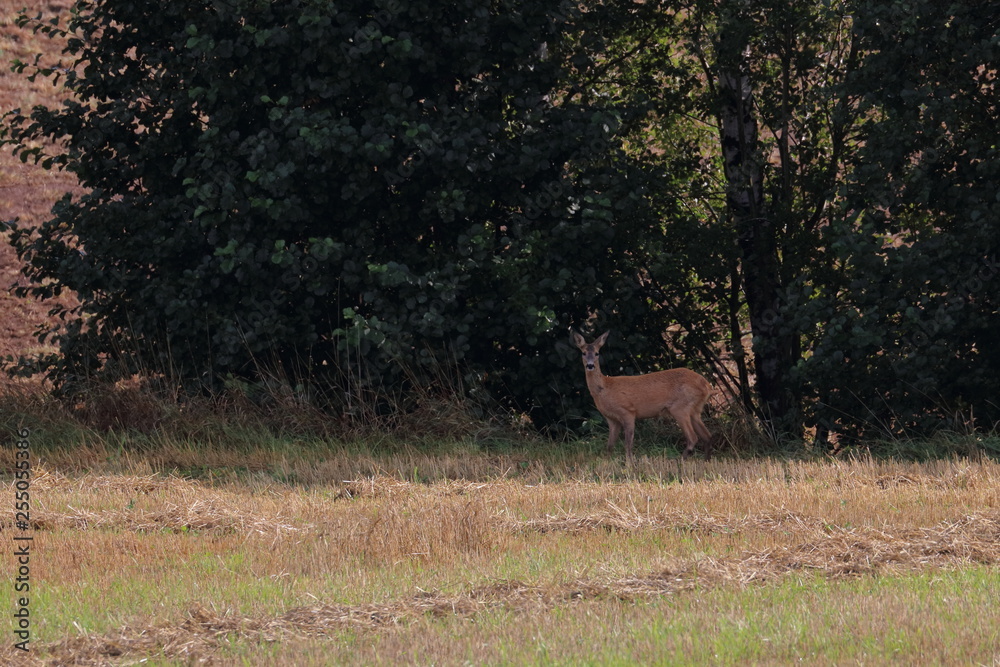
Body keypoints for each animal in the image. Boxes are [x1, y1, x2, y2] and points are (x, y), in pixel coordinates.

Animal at [572, 332, 712, 462]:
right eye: (583, 353)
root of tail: (706, 384)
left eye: (596, 353)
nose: (590, 365)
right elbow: (609, 446)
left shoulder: (628, 411)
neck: (604, 388)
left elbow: (628, 444)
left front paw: (630, 465)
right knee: (707, 436)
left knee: (693, 438)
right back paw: (706, 461)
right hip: (695, 409)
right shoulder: (611, 419)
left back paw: (680, 462)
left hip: (680, 407)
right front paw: (607, 464)